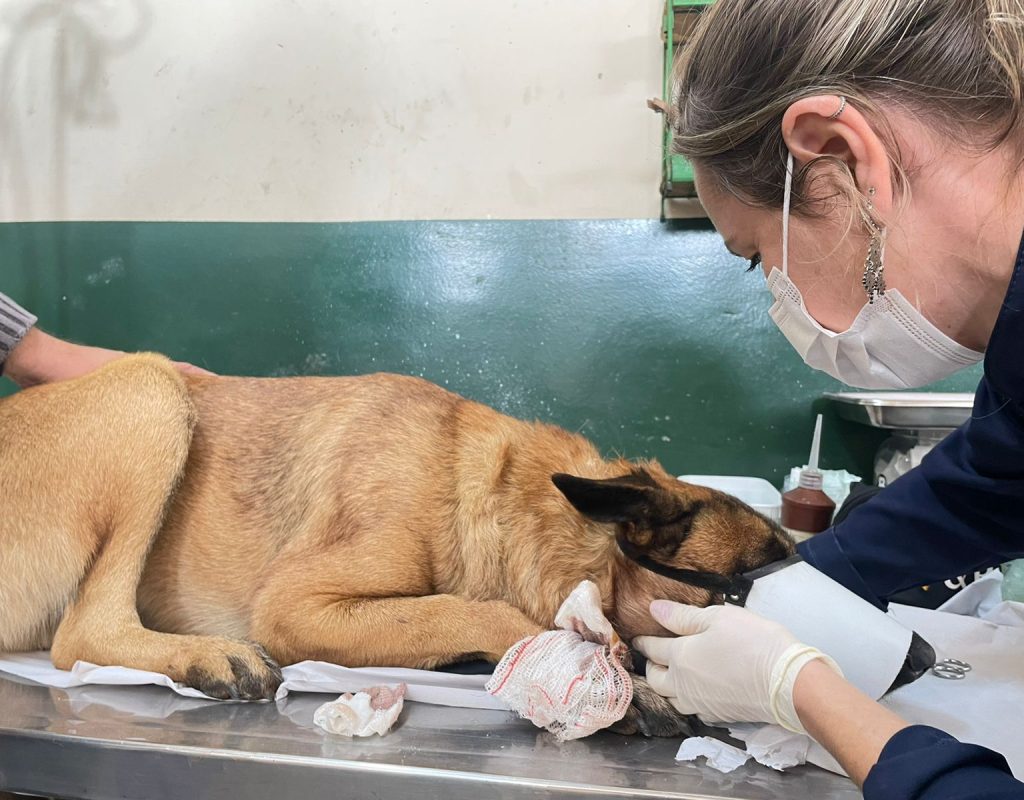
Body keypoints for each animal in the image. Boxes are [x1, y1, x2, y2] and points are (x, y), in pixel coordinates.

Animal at [0, 356, 790, 737]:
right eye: (742, 586)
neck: (499, 498)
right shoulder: (295, 605)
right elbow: (474, 611)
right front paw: (604, 679)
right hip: (153, 391)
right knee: (84, 632)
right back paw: (205, 655)